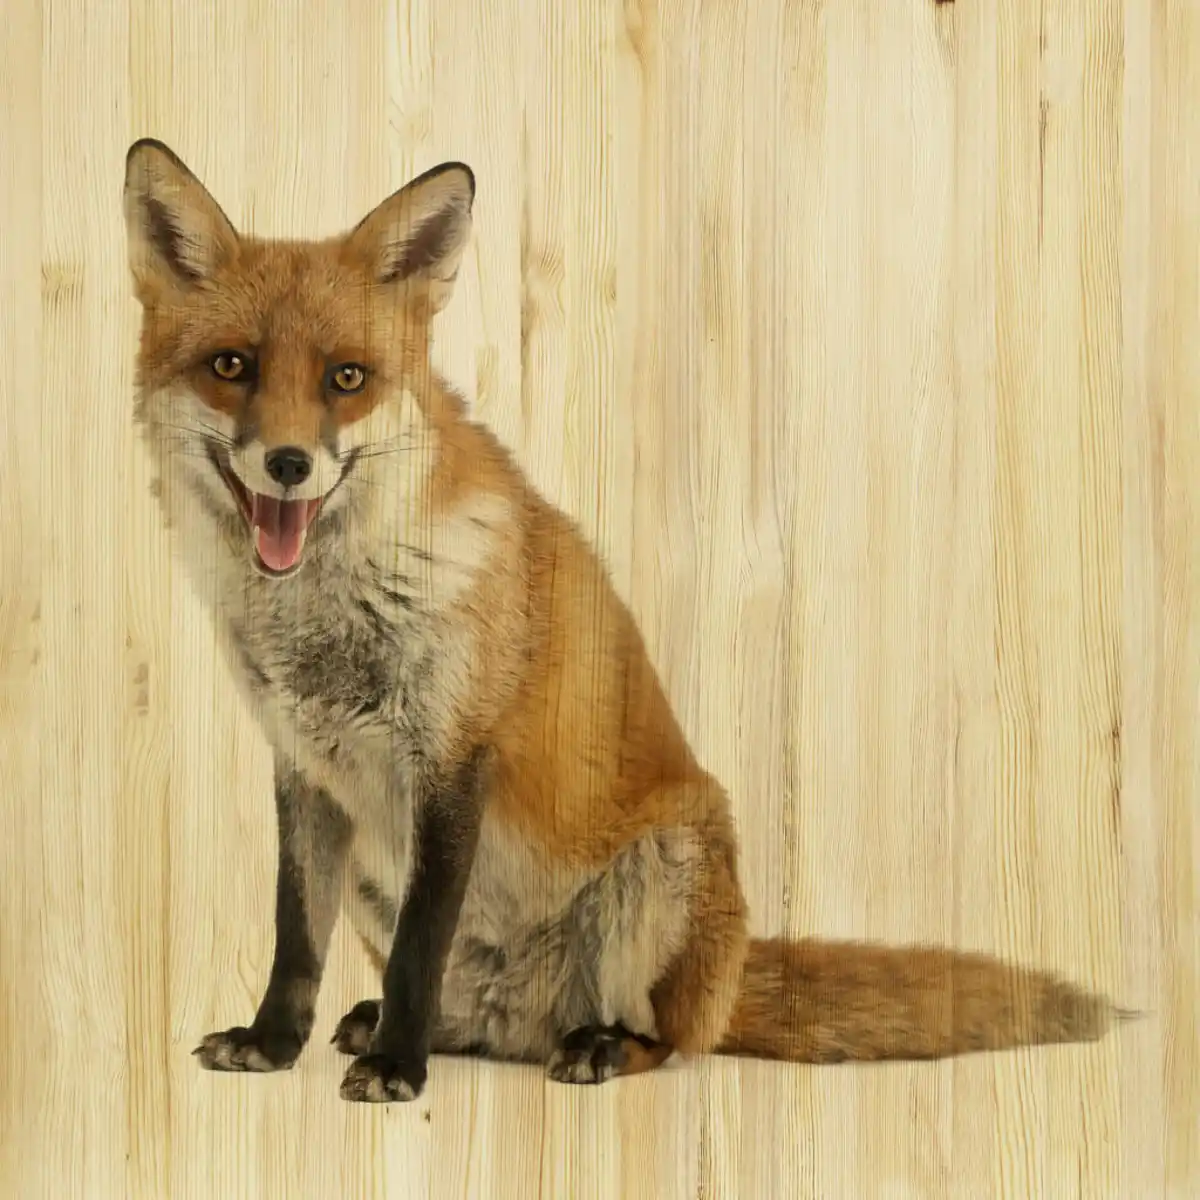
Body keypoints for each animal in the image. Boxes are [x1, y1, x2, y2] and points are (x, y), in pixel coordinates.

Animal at [122, 138, 1130, 1104]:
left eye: (346, 378)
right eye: (232, 367)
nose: (289, 464)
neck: (331, 613)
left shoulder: (454, 758)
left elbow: (417, 950)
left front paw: (397, 1074)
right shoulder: (307, 767)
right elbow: (298, 940)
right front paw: (272, 1045)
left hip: (663, 868)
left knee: (668, 1041)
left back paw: (585, 1046)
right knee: (466, 1015)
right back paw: (411, 1031)